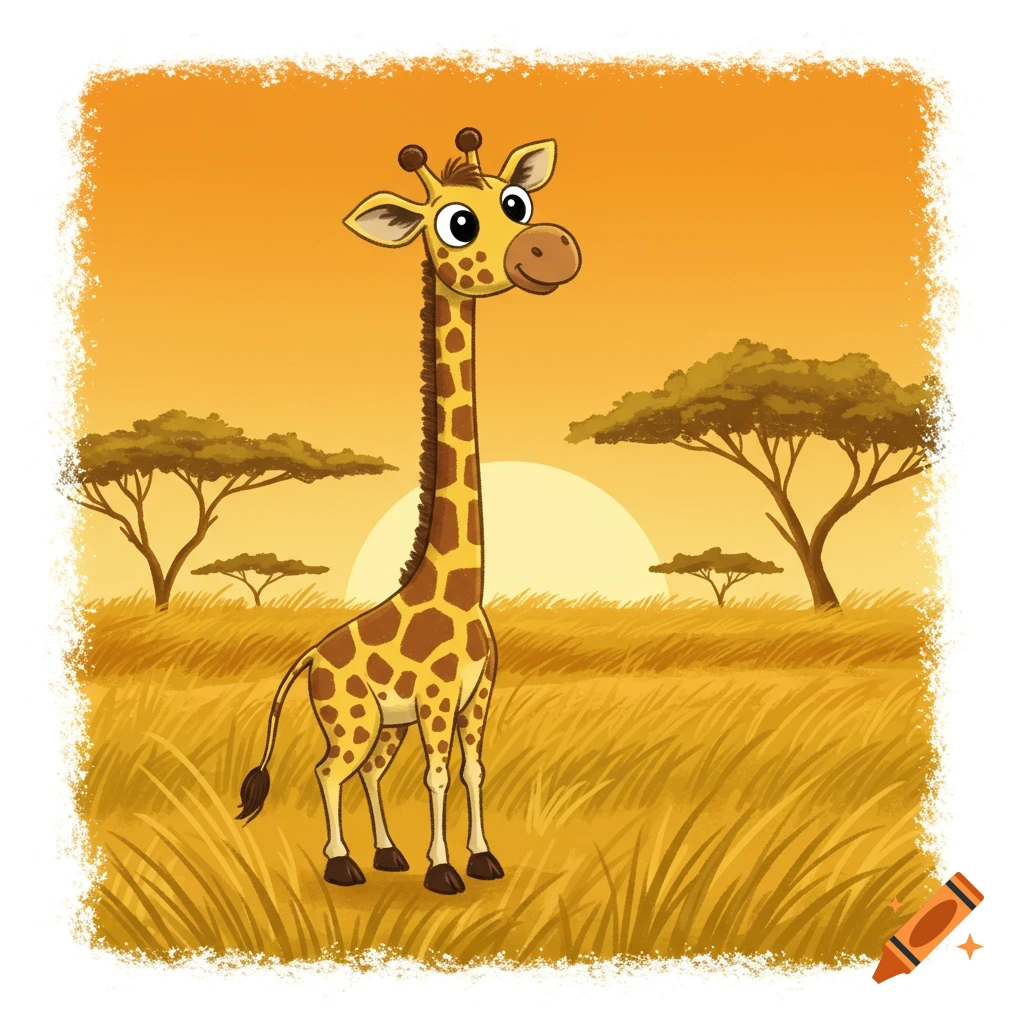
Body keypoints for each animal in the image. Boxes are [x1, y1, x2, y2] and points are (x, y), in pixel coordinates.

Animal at [236, 127, 582, 895]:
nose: (548, 248)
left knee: (366, 771)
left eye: (517, 202)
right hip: (351, 715)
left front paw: (481, 859)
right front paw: (444, 871)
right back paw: (342, 864)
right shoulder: (433, 699)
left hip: (380, 722)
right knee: (329, 769)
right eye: (459, 223)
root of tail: (310, 656)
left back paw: (386, 854)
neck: (458, 589)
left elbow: (473, 770)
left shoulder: (478, 695)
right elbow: (439, 776)